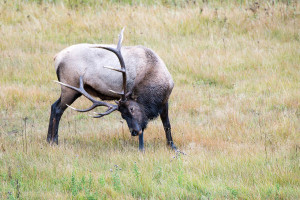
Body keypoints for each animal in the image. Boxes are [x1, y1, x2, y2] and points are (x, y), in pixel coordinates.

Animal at [47, 27, 176, 150]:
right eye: (123, 115)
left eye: (132, 109)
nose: (134, 132)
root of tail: (56, 58)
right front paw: (141, 148)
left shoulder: (164, 100)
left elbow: (167, 124)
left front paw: (172, 146)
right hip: (70, 87)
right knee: (58, 109)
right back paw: (55, 141)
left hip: (70, 88)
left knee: (53, 105)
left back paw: (48, 140)